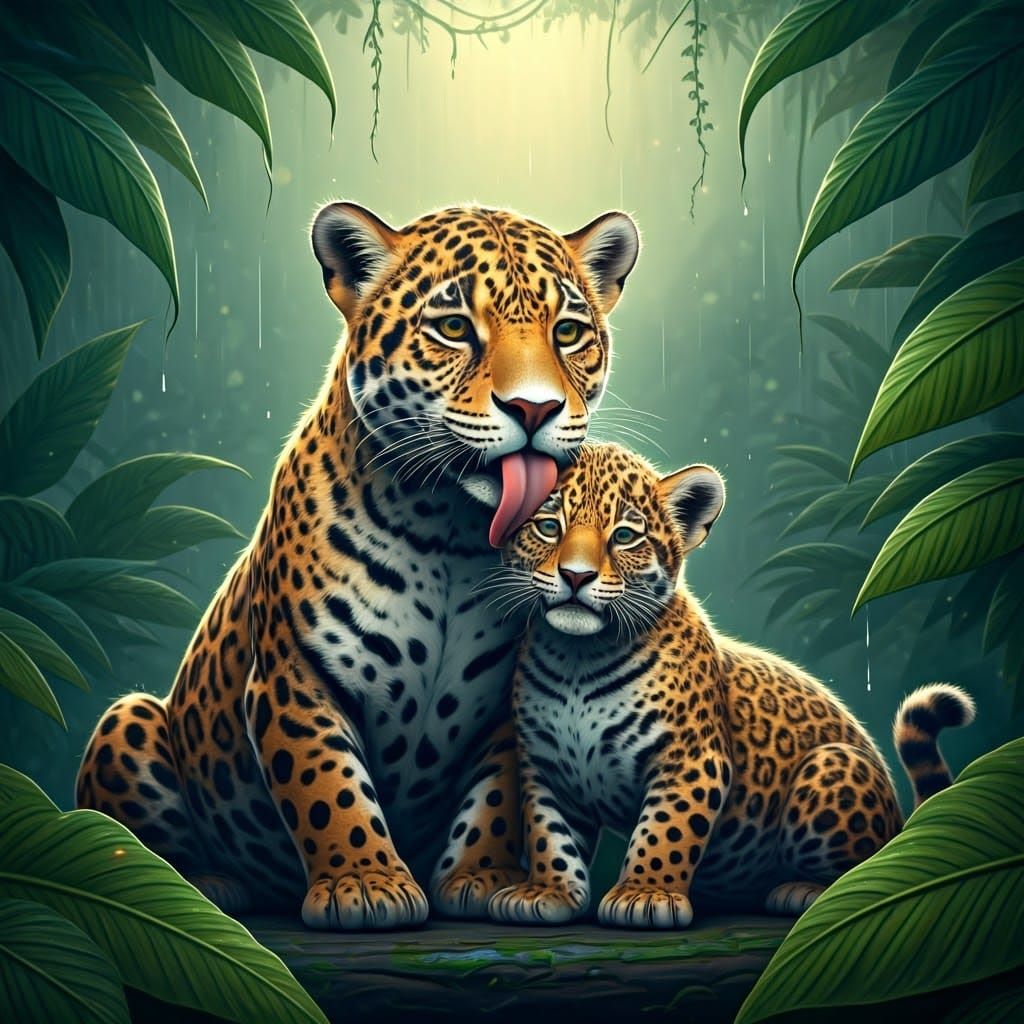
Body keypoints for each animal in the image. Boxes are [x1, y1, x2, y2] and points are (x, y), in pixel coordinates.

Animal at [75, 202, 640, 930]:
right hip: (130, 719)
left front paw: (482, 877)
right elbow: (327, 784)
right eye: (454, 328)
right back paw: (208, 884)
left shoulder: (508, 700)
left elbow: (495, 798)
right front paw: (364, 883)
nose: (535, 409)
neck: (448, 531)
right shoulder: (296, 675)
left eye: (567, 333)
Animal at [478, 442, 974, 928]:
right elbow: (549, 834)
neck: (578, 659)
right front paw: (547, 891)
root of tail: (902, 826)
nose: (576, 576)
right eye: (548, 526)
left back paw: (805, 891)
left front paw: (645, 892)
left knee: (862, 870)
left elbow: (664, 831)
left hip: (831, 764)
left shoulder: (693, 759)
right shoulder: (545, 767)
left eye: (624, 536)